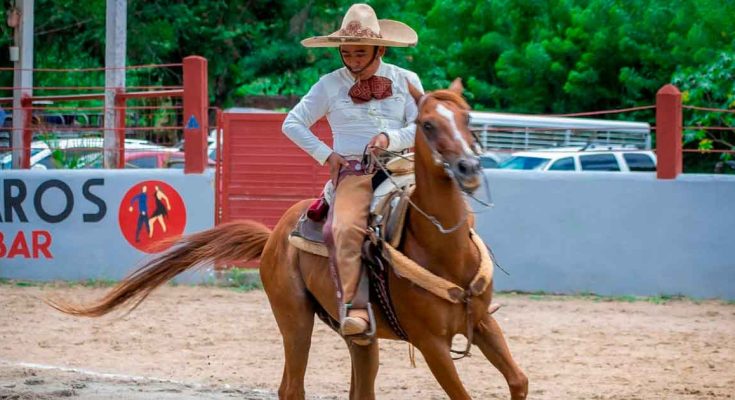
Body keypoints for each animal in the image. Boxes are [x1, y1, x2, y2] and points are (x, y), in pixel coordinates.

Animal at [50, 79, 528, 398]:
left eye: (467, 118)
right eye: (427, 125)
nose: (469, 168)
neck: (442, 250)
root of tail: (274, 237)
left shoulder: (483, 324)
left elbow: (519, 380)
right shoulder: (431, 344)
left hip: (360, 336)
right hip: (295, 319)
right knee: (291, 387)